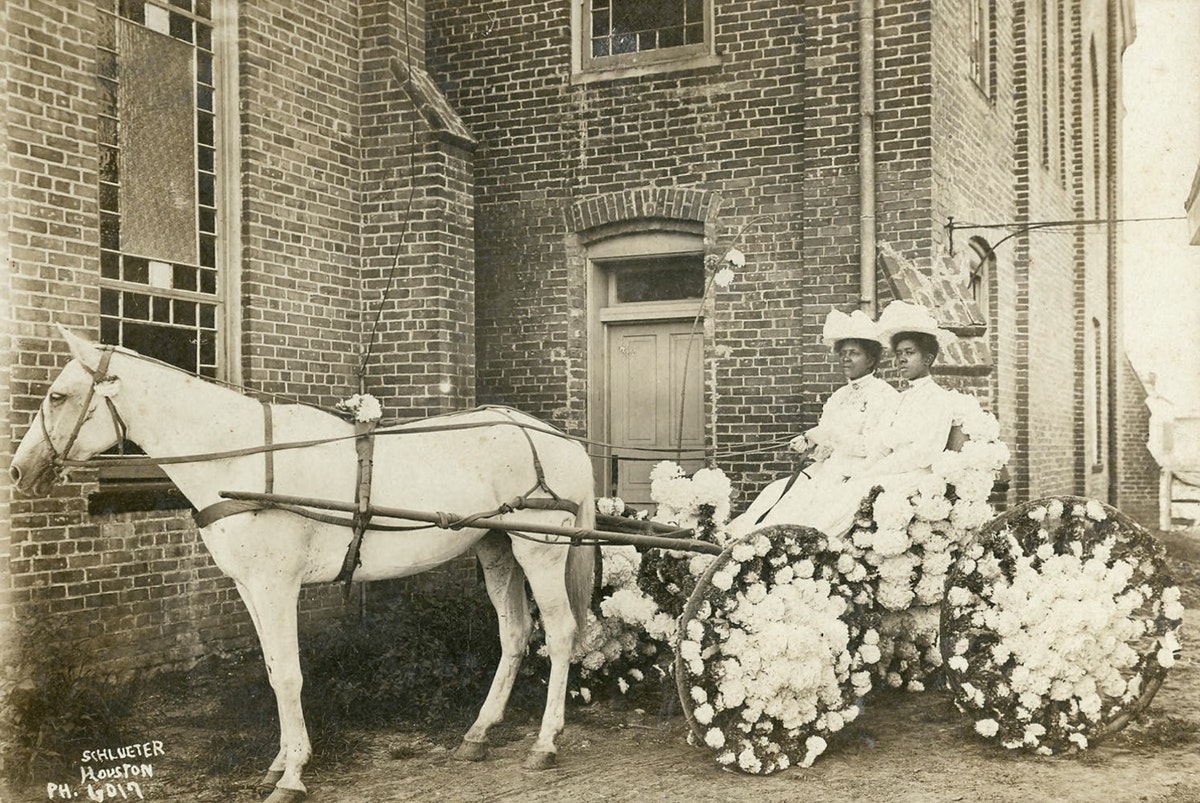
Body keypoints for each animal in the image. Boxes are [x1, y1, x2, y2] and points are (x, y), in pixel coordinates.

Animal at [5, 326, 595, 801]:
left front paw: (291, 778)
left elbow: (289, 674)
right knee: (514, 634)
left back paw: (545, 743)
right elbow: (272, 671)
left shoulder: (276, 585)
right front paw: (281, 762)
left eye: (58, 395)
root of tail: (557, 438)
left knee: (559, 631)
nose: (18, 471)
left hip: (539, 548)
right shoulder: (248, 587)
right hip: (497, 549)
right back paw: (478, 733)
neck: (239, 457)